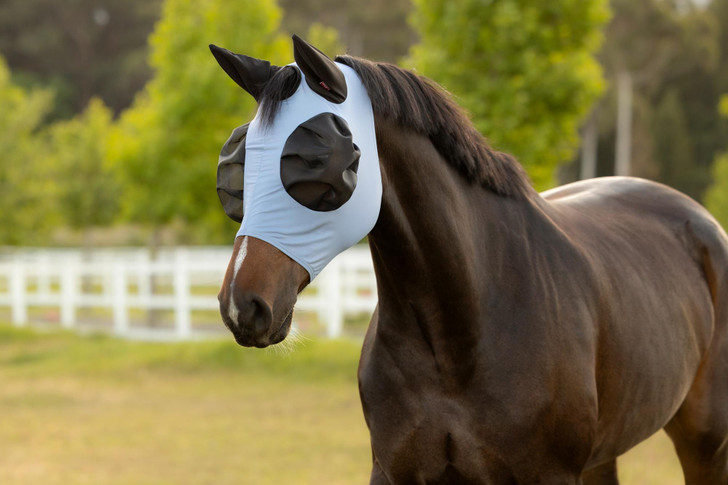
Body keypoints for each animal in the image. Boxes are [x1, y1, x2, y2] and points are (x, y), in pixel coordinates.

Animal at [210, 35, 728, 484]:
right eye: (235, 165)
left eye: (316, 162)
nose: (242, 304)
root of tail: (699, 219)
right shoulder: (395, 470)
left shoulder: (551, 474)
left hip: (704, 443)